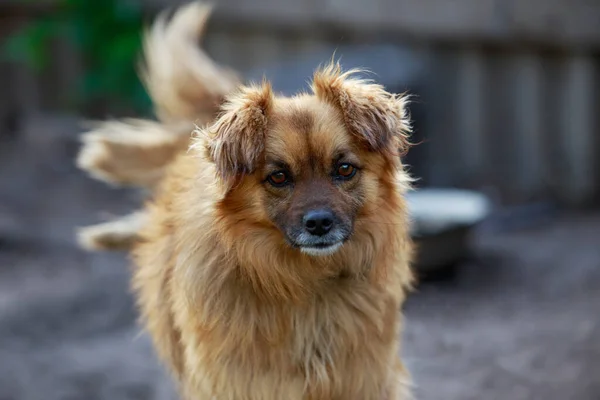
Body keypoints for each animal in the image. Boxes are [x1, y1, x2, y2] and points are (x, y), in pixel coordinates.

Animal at [77, 1, 414, 398]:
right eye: (278, 177)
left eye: (344, 169)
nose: (319, 223)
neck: (304, 283)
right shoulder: (237, 382)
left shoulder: (365, 378)